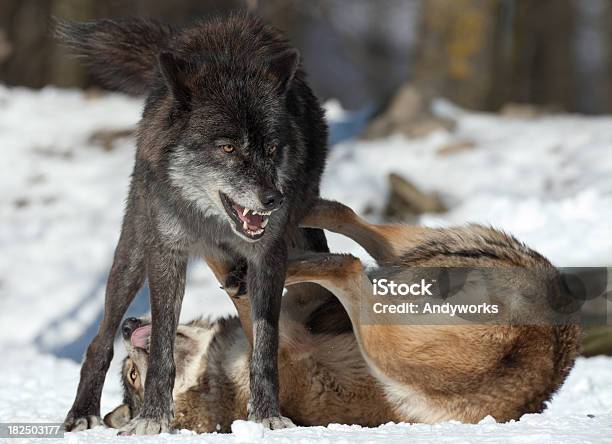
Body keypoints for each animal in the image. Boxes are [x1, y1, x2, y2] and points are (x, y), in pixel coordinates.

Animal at [58, 15, 330, 436]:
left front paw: (266, 414)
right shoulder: (166, 253)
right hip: (133, 250)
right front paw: (152, 417)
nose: (273, 199)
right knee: (99, 340)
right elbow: (161, 348)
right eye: (228, 148)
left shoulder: (270, 255)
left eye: (272, 149)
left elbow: (266, 345)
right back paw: (82, 412)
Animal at [104, 198, 580, 430]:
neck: (220, 379)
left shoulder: (299, 313)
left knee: (348, 225)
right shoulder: (289, 336)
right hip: (387, 342)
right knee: (349, 263)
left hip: (402, 256)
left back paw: (297, 210)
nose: (127, 326)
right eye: (133, 375)